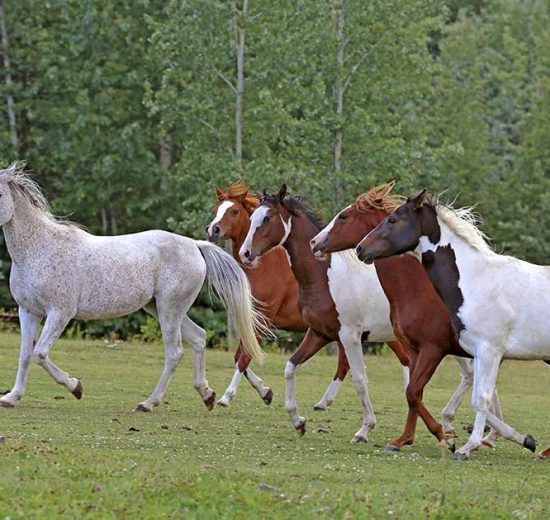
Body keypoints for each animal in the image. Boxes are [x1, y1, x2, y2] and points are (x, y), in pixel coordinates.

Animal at [0, 166, 266, 410]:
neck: (40, 249)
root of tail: (194, 245)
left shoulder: (60, 313)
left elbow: (40, 354)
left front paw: (75, 387)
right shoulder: (28, 312)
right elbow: (25, 355)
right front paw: (12, 397)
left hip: (169, 310)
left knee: (175, 353)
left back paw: (149, 403)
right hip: (161, 309)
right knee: (199, 338)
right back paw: (207, 395)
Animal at [205, 183, 352, 410]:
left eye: (234, 211)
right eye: (215, 210)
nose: (213, 230)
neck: (263, 266)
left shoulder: (263, 320)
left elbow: (244, 357)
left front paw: (226, 397)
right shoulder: (253, 320)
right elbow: (240, 356)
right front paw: (265, 392)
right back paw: (324, 402)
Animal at [312, 184, 502, 450]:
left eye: (344, 217)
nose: (315, 242)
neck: (415, 289)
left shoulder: (433, 348)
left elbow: (412, 392)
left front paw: (443, 436)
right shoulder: (415, 350)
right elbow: (414, 393)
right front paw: (404, 439)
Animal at [358, 191, 550, 460]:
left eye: (393, 219)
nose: (360, 248)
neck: (475, 280)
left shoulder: (488, 351)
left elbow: (481, 399)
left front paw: (466, 447)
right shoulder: (478, 354)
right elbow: (476, 398)